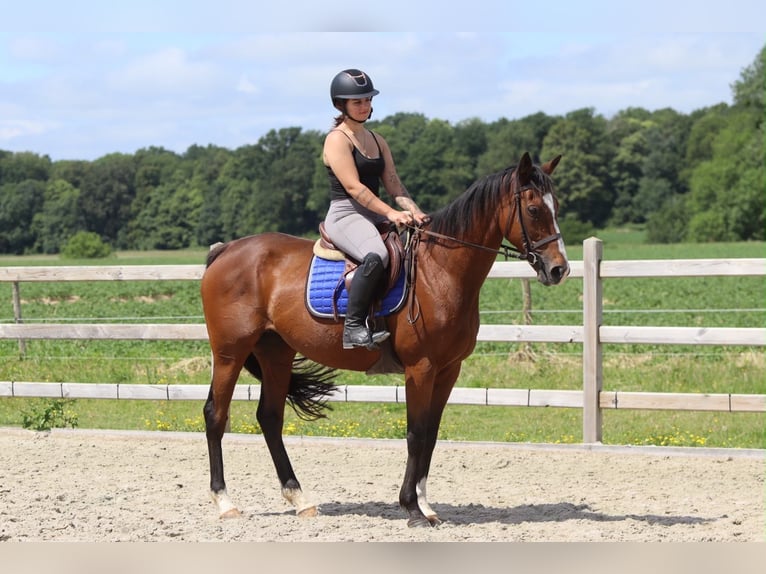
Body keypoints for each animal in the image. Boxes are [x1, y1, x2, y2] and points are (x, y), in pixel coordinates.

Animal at [200, 152, 570, 527]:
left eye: (557, 207)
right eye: (534, 209)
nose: (559, 270)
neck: (441, 271)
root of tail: (226, 250)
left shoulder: (448, 370)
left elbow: (431, 434)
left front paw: (426, 506)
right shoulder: (420, 368)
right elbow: (415, 434)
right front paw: (412, 507)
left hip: (276, 353)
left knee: (270, 417)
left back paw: (300, 499)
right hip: (230, 352)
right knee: (216, 414)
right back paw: (225, 502)